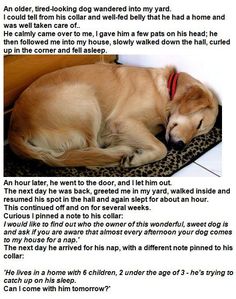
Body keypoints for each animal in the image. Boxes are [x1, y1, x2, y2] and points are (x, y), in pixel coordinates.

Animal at [8, 63, 219, 168]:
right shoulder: (122, 121)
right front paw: (138, 159)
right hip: (85, 99)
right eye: (199, 123)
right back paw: (124, 151)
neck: (165, 91)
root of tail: (14, 129)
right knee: (92, 153)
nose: (180, 146)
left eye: (199, 131)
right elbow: (161, 148)